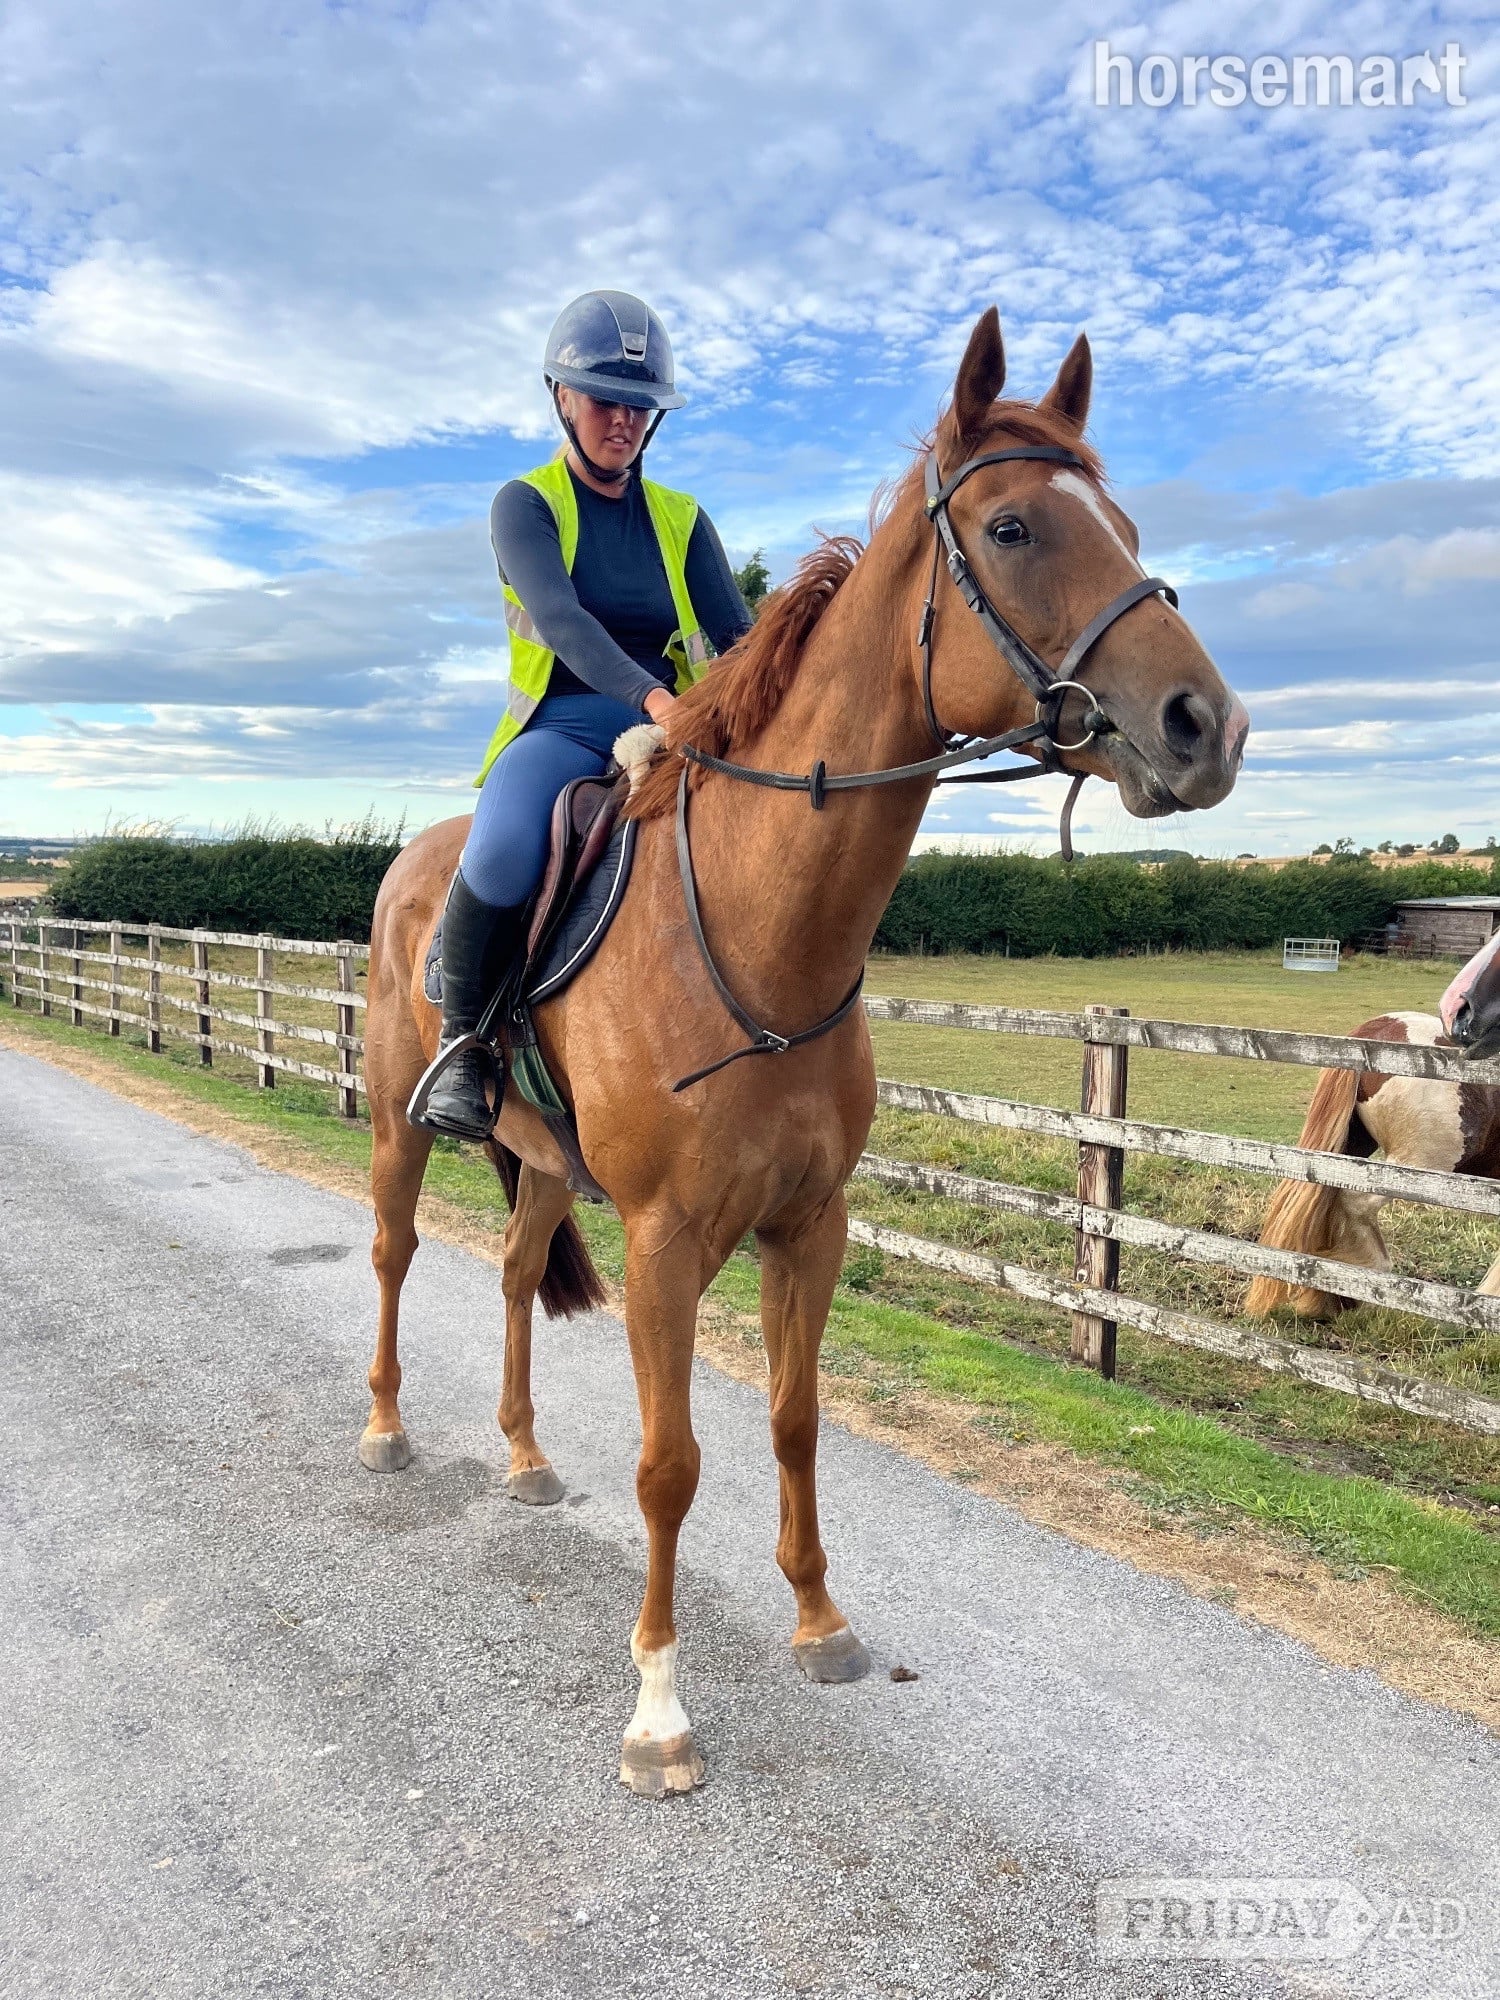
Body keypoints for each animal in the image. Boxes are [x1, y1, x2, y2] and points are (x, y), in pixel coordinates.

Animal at [360, 306, 1249, 1796]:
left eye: (1122, 522)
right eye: (1013, 527)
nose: (1208, 726)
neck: (760, 932)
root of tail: (413, 861)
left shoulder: (809, 1223)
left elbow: (793, 1416)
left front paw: (821, 1621)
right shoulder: (666, 1242)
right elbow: (671, 1463)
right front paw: (659, 1708)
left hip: (540, 1159)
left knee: (512, 1272)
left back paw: (526, 1455)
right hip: (394, 1130)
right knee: (393, 1255)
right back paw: (382, 1428)